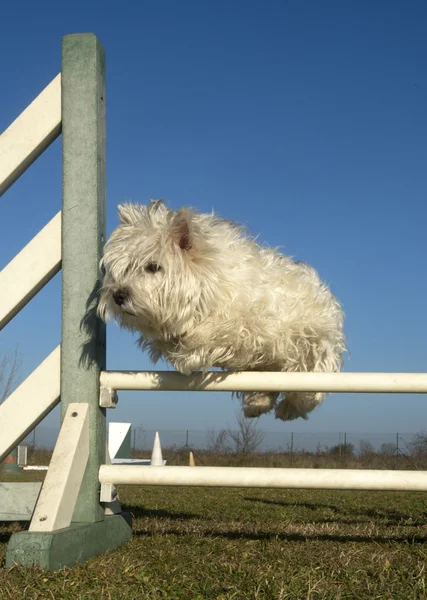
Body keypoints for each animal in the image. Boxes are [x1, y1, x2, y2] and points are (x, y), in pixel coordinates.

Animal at [98, 199, 346, 420]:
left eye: (153, 267)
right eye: (125, 268)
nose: (118, 295)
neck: (208, 284)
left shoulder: (246, 326)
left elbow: (212, 334)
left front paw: (190, 351)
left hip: (314, 347)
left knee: (310, 384)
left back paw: (292, 406)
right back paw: (257, 403)